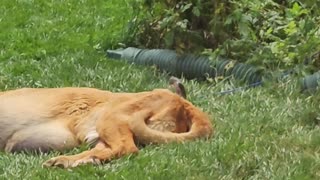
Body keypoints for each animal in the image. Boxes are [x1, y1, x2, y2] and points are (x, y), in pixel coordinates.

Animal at [0, 83, 215, 168]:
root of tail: (185, 104)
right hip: (104, 133)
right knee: (109, 150)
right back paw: (67, 162)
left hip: (110, 119)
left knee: (128, 149)